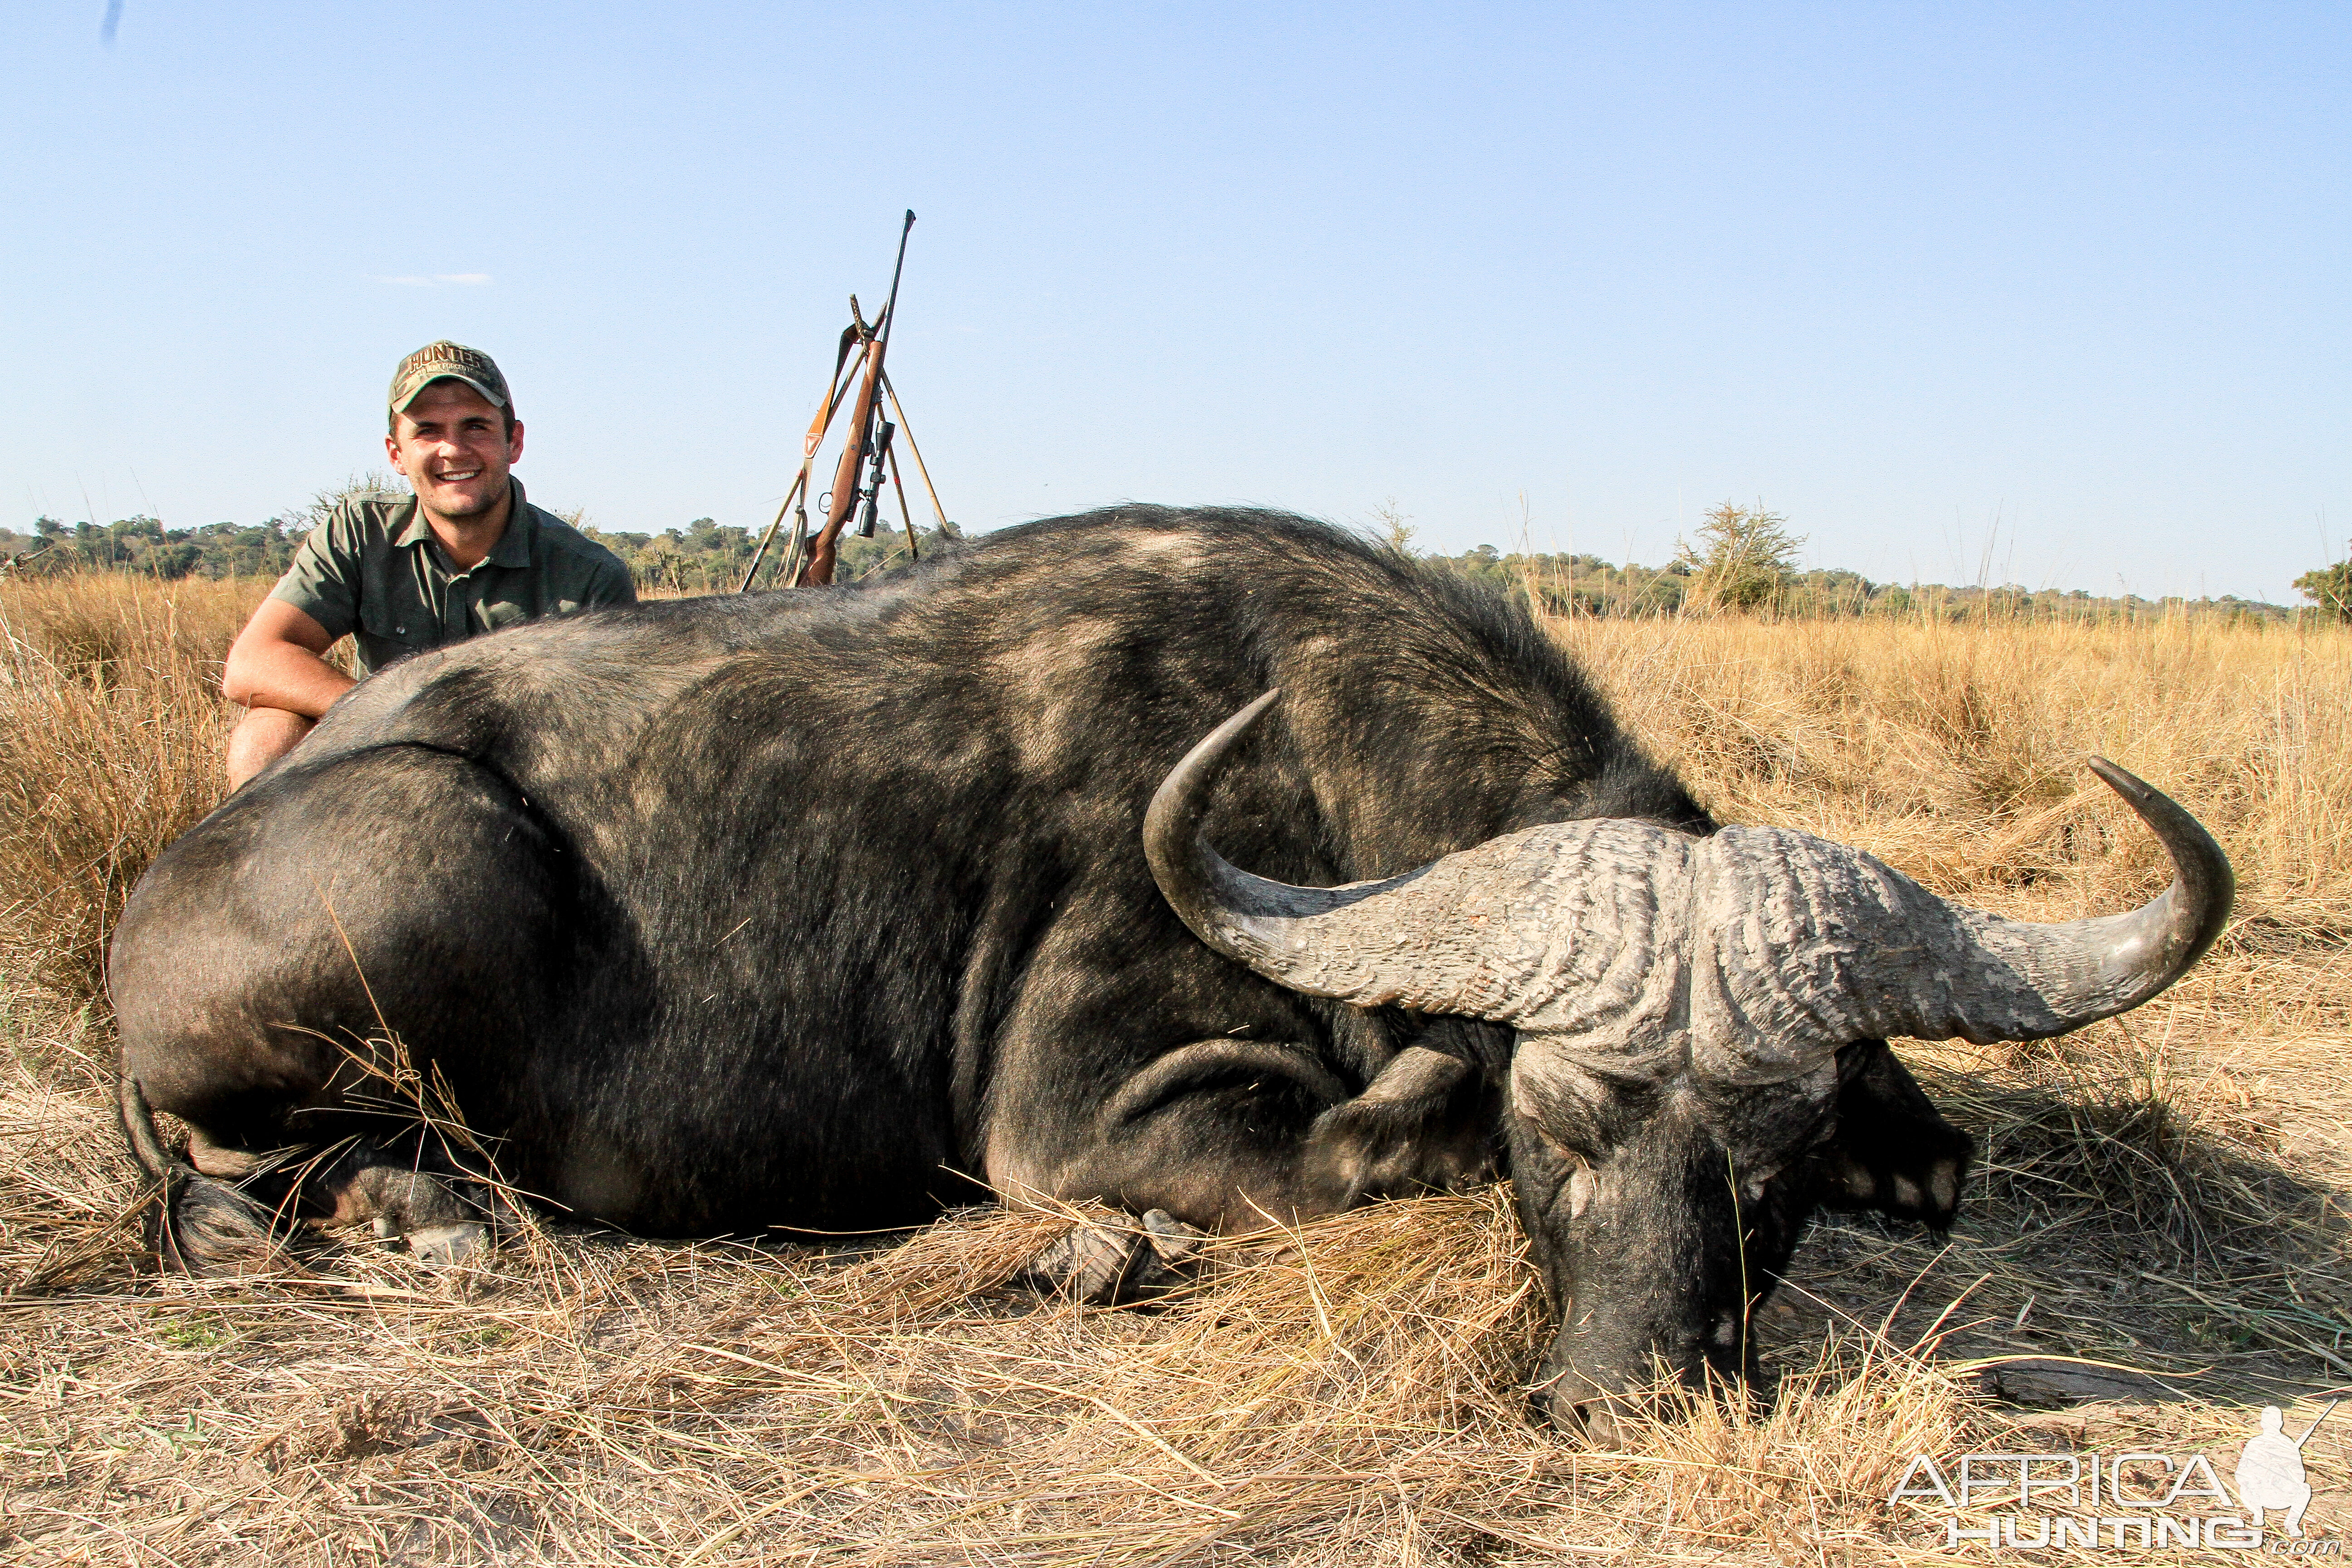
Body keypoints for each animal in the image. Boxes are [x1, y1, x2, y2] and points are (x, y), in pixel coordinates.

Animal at [110, 510, 2230, 1429]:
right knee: (247, 1184)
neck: (1320, 770)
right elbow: (1345, 1158)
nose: (1630, 1393)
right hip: (434, 858)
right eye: (1552, 1132)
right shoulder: (1092, 1117)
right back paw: (436, 1220)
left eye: (1777, 1175)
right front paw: (1101, 1250)